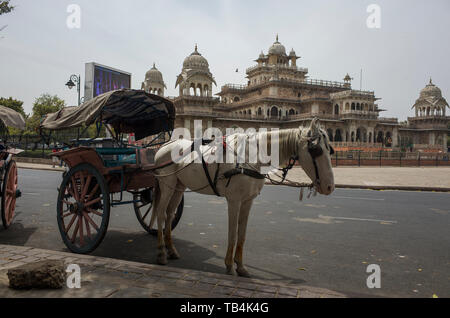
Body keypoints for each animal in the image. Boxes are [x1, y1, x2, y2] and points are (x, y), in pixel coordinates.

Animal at [151, 118, 334, 278]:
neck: (252, 157)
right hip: (166, 182)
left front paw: (240, 266)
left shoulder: (248, 200)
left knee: (169, 213)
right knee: (160, 212)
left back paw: (171, 250)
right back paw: (161, 252)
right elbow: (232, 233)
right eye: (316, 150)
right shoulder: (234, 200)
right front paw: (229, 266)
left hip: (179, 185)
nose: (330, 187)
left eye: (329, 150)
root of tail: (163, 147)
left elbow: (242, 234)